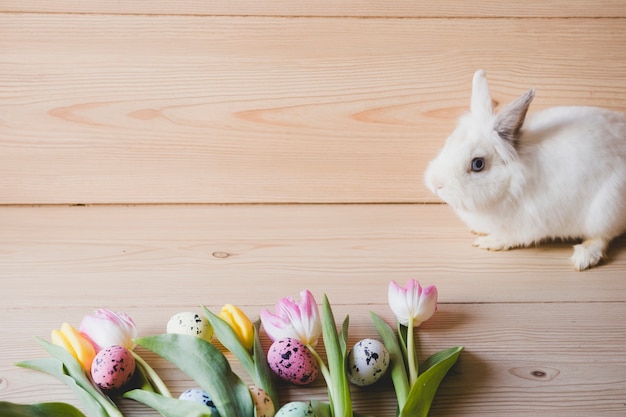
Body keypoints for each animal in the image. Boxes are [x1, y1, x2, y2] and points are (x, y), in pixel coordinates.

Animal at [424, 70, 624, 270]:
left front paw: (490, 242)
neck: (510, 183)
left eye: (478, 164)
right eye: (449, 142)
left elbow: (511, 237)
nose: (436, 184)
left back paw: (583, 258)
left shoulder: (529, 223)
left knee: (602, 237)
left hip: (605, 211)